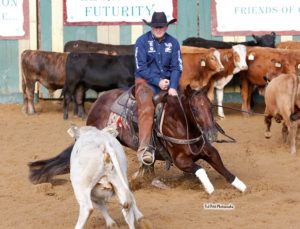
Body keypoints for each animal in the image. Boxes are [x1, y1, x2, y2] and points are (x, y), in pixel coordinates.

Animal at [27, 87, 246, 194]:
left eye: (210, 106)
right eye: (194, 108)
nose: (211, 133)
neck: (181, 125)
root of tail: (98, 102)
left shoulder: (208, 151)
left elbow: (221, 166)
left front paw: (240, 185)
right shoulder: (181, 161)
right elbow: (200, 169)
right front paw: (209, 188)